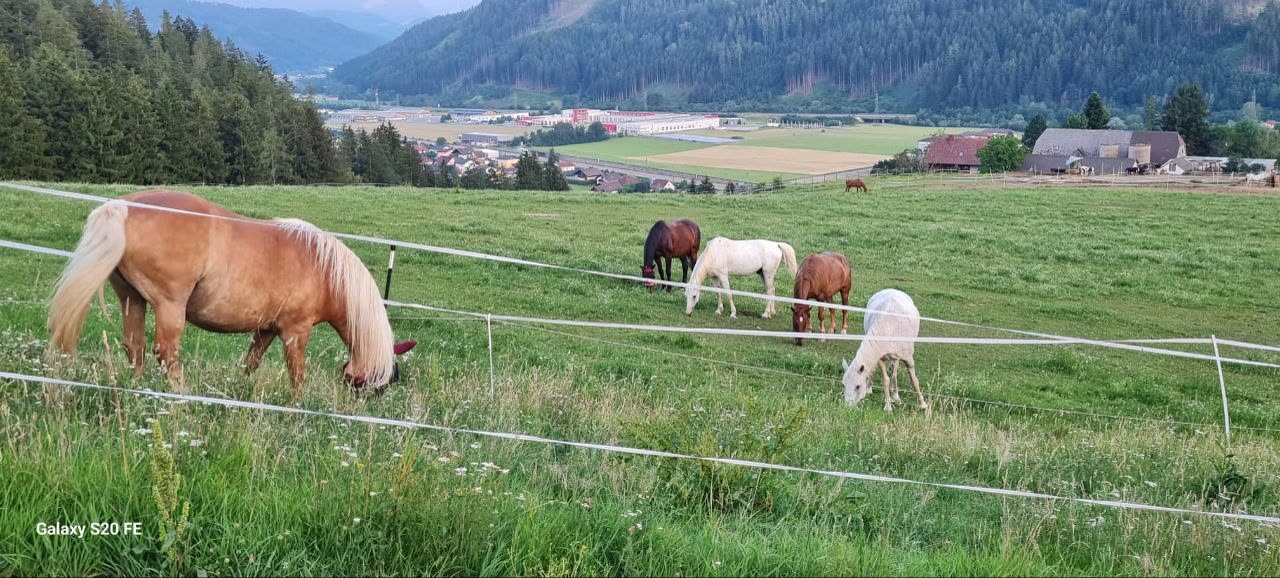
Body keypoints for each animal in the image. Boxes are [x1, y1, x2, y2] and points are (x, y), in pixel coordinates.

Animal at [48, 190, 416, 401]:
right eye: (373, 386)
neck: (324, 269)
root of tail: (123, 205)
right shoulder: (295, 332)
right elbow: (297, 377)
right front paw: (297, 409)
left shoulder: (266, 330)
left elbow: (250, 364)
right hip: (169, 306)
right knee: (165, 352)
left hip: (131, 299)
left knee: (134, 346)